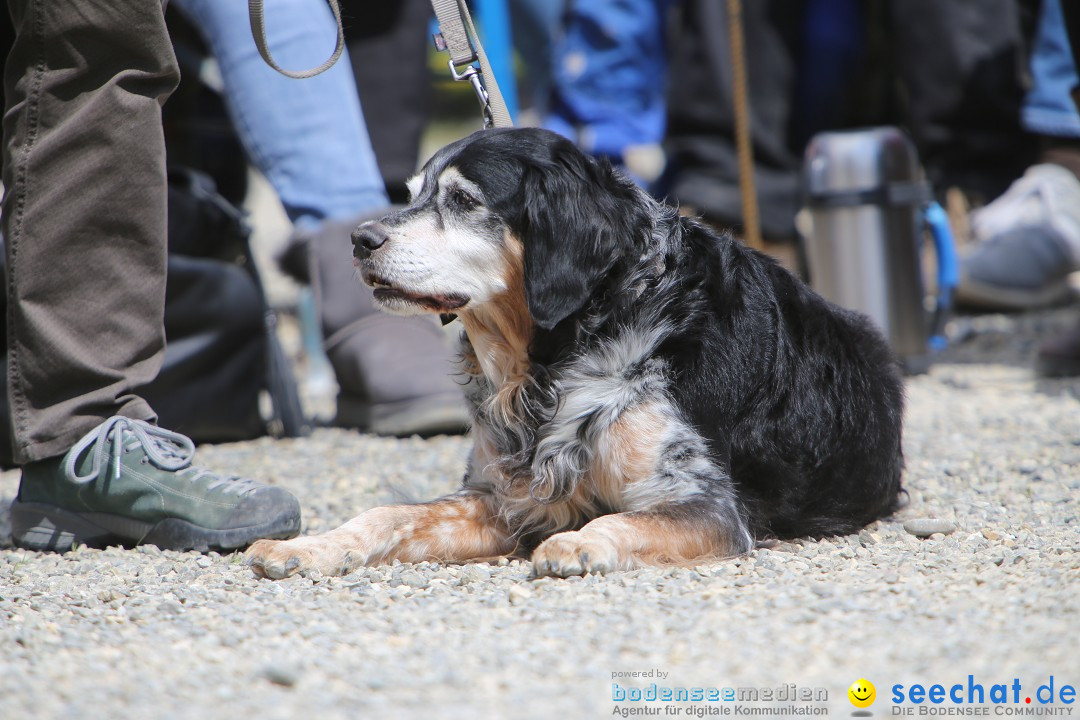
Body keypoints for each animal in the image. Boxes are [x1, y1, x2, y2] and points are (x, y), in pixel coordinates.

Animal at [247, 127, 902, 578]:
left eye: (463, 201)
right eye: (413, 195)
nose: (361, 240)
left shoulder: (706, 505)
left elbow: (619, 518)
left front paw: (579, 542)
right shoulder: (500, 499)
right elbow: (390, 514)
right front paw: (310, 546)